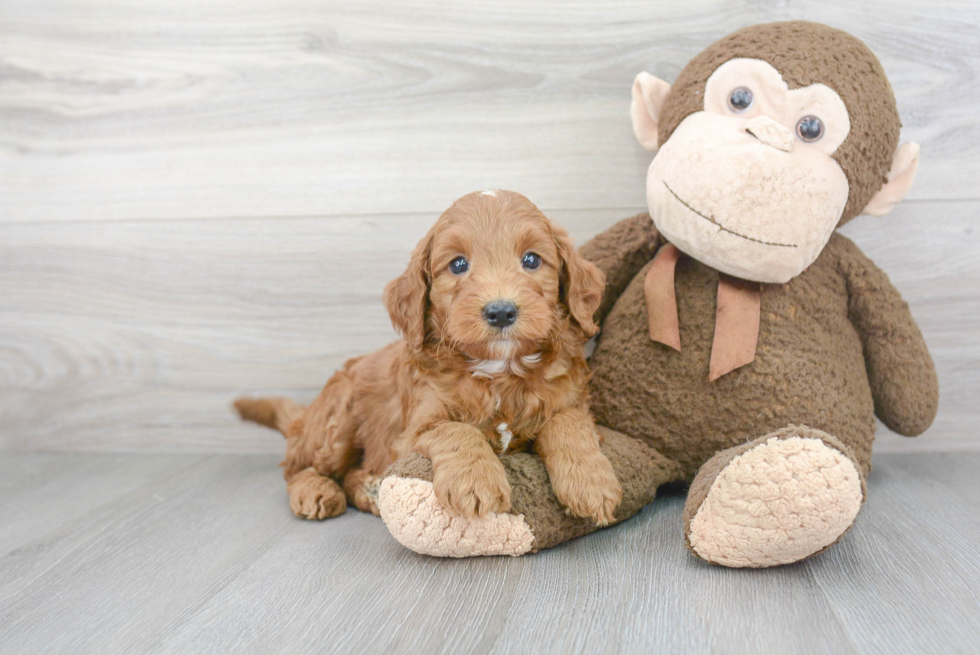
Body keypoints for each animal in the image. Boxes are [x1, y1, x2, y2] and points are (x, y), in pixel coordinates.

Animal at [235, 190, 620, 524]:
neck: (498, 369)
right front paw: (475, 482)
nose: (500, 312)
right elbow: (455, 429)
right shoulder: (411, 432)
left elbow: (568, 422)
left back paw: (370, 490)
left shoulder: (573, 401)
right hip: (336, 417)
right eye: (458, 264)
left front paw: (592, 482)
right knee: (297, 468)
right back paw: (315, 491)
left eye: (531, 260)